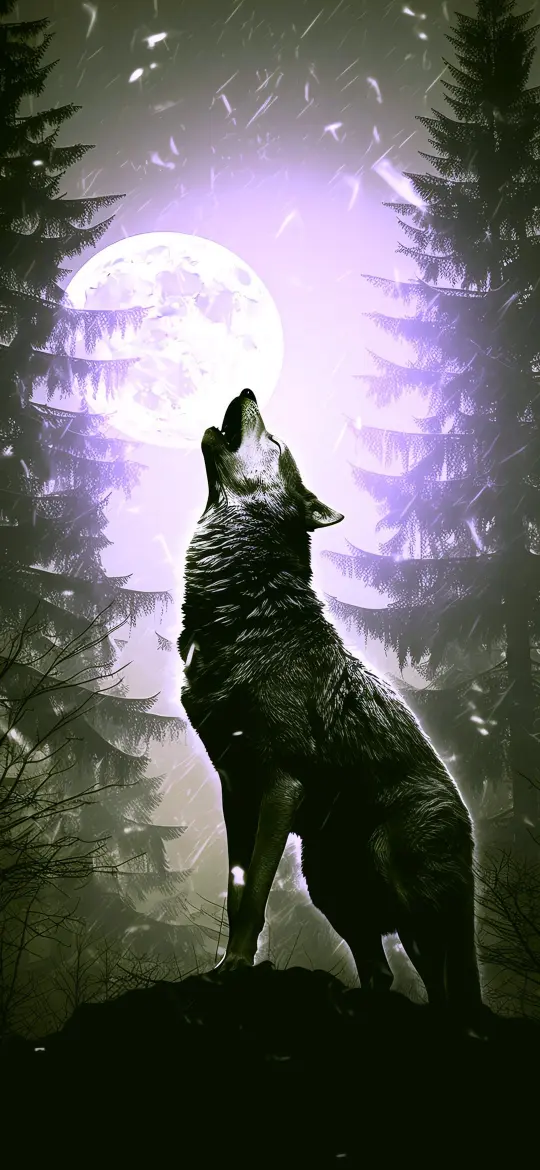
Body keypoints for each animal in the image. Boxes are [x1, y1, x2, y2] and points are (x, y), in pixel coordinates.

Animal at [179, 387, 483, 1016]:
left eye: (274, 442)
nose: (247, 391)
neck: (247, 605)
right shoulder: (233, 786)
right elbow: (236, 891)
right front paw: (223, 967)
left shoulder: (281, 780)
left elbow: (255, 893)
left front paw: (236, 968)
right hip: (326, 882)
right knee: (385, 972)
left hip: (399, 880)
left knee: (443, 986)